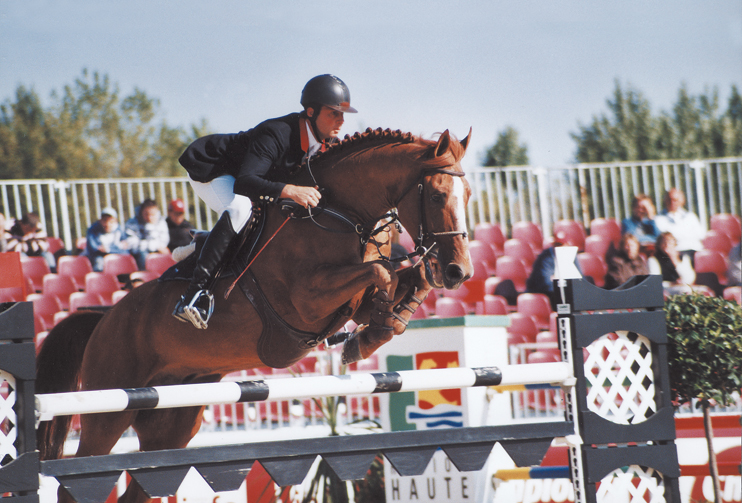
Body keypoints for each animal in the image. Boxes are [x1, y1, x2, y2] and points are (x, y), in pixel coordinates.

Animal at [35, 129, 474, 503]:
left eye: (468, 194)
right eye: (437, 197)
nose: (460, 273)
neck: (341, 214)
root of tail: (102, 318)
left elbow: (408, 279)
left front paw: (376, 330)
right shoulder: (306, 302)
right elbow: (381, 273)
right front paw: (370, 331)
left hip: (172, 423)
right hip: (108, 411)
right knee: (77, 480)